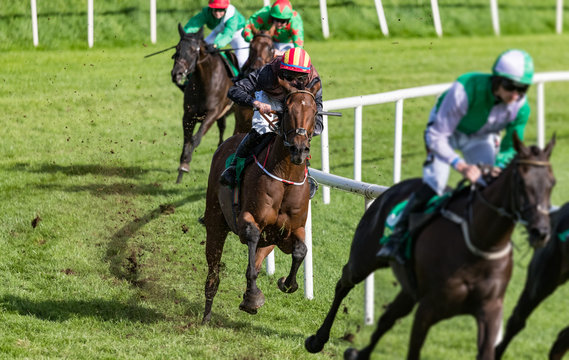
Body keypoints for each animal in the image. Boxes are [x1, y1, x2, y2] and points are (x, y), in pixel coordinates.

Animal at [172, 23, 236, 184]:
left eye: (193, 50)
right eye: (177, 48)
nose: (177, 74)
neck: (205, 82)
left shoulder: (213, 113)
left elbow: (195, 139)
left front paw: (185, 165)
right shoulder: (188, 114)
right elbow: (187, 139)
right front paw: (182, 168)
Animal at [200, 81, 320, 324]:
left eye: (314, 112)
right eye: (288, 110)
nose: (299, 149)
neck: (286, 178)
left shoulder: (289, 231)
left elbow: (300, 250)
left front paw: (286, 283)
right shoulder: (249, 218)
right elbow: (252, 236)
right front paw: (255, 296)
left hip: (268, 241)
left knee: (256, 259)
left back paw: (248, 298)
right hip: (216, 222)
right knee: (214, 270)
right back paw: (208, 313)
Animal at [306, 134, 556, 360]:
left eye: (552, 182)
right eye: (521, 182)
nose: (541, 231)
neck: (480, 243)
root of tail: (393, 189)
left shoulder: (489, 310)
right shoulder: (428, 308)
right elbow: (413, 351)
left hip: (409, 289)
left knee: (388, 318)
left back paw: (358, 354)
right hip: (364, 259)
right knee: (344, 283)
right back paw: (317, 340)